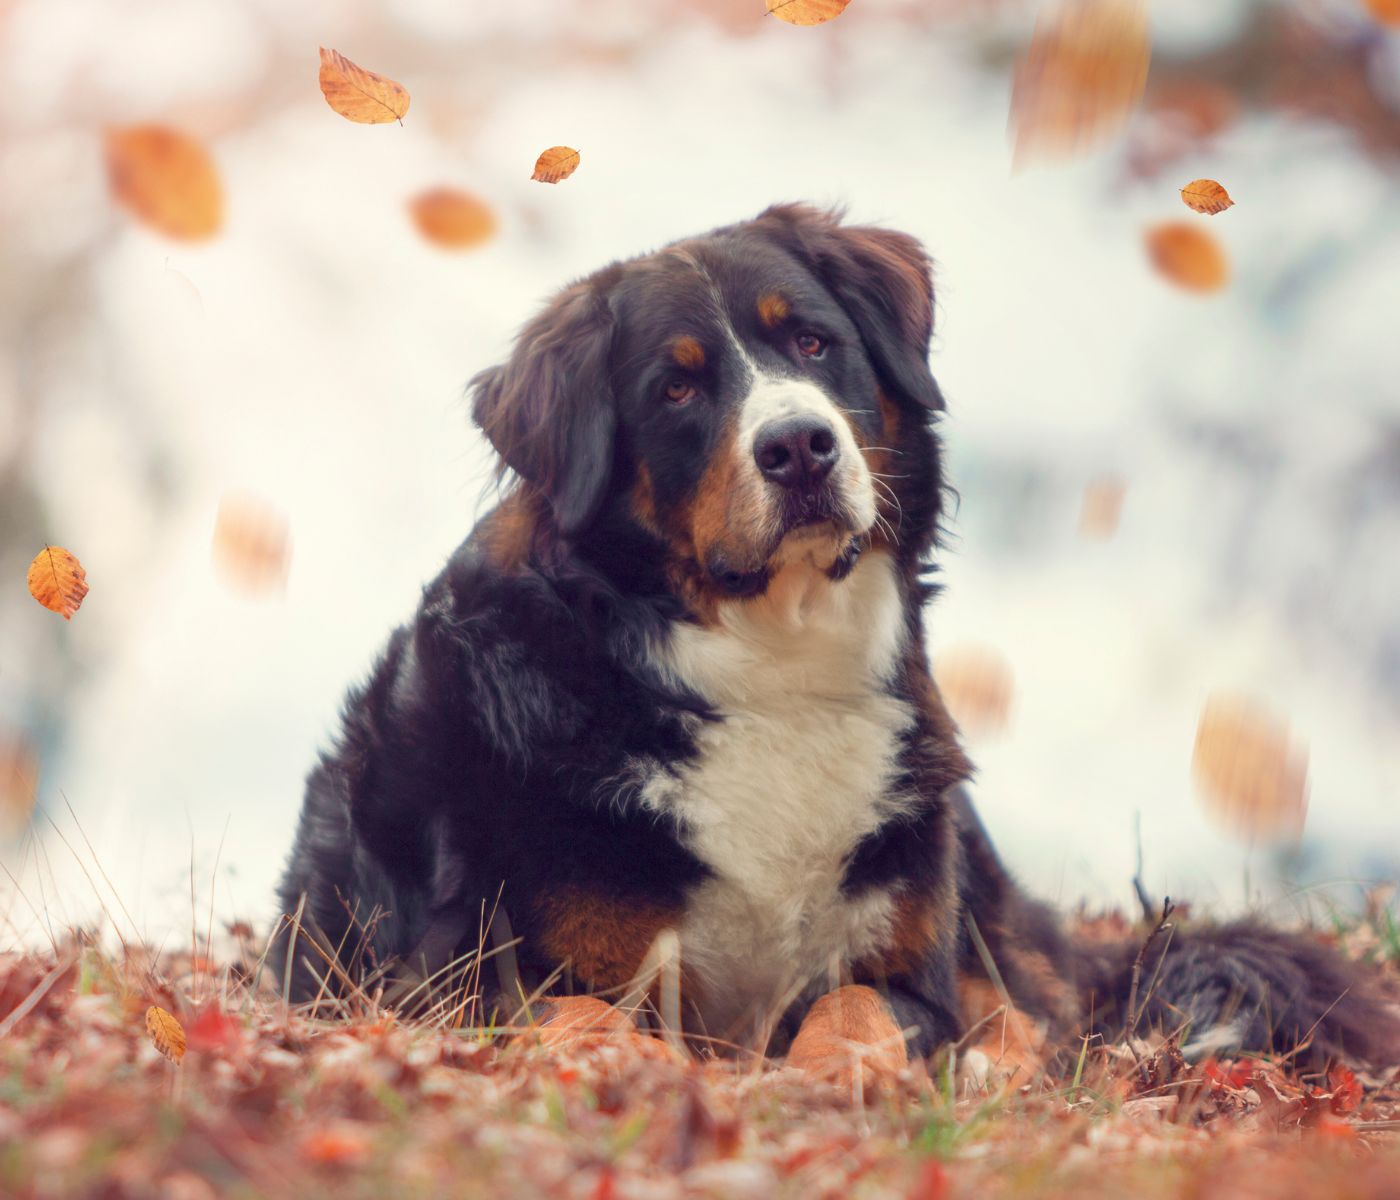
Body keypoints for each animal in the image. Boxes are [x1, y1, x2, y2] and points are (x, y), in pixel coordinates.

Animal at [273, 201, 1400, 1080]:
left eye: (812, 343)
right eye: (675, 388)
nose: (799, 446)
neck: (770, 662)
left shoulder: (908, 961)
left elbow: (859, 1008)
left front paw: (835, 1079)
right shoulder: (458, 979)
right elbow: (581, 1015)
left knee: (1033, 1011)